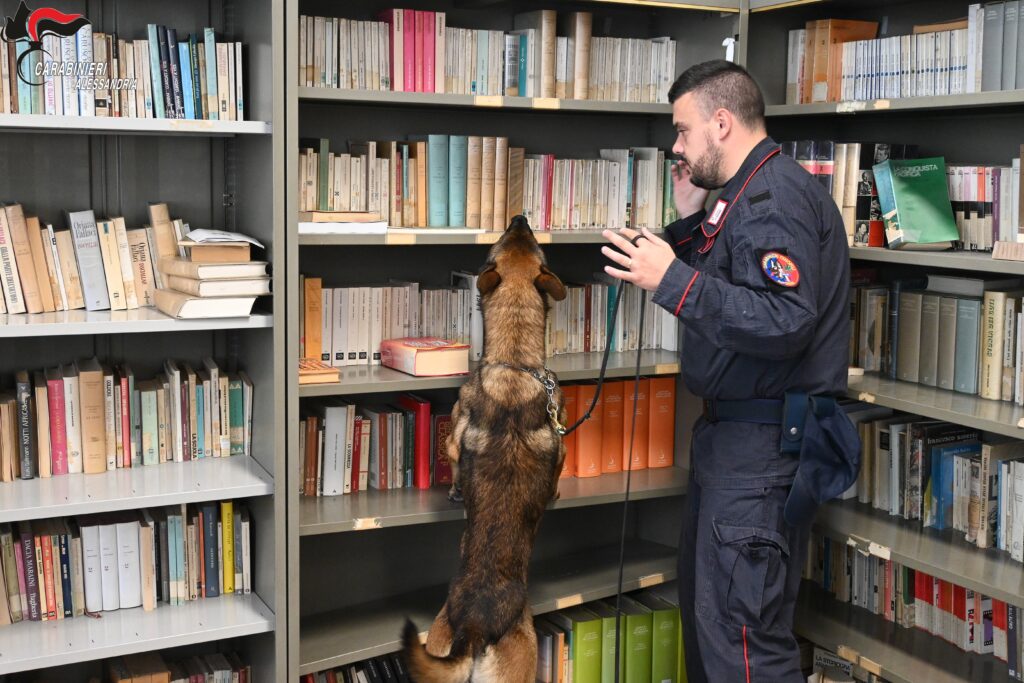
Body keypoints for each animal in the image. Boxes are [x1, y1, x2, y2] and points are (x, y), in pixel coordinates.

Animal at [399, 215, 573, 683]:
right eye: (524, 243)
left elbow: (456, 459)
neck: (515, 361)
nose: (520, 218)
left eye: (494, 248)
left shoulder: (455, 436)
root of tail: (476, 624)